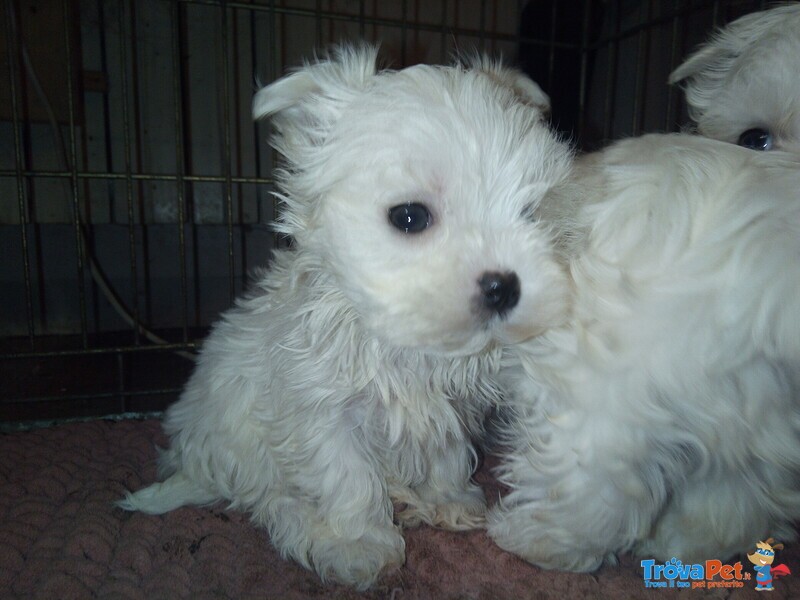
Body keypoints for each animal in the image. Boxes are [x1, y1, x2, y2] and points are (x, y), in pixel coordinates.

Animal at [117, 44, 576, 588]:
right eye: (409, 217)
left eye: (531, 212)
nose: (504, 286)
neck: (408, 344)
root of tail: (195, 463)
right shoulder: (321, 409)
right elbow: (345, 476)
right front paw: (359, 544)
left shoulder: (451, 406)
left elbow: (446, 452)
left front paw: (448, 501)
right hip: (242, 446)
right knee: (273, 500)